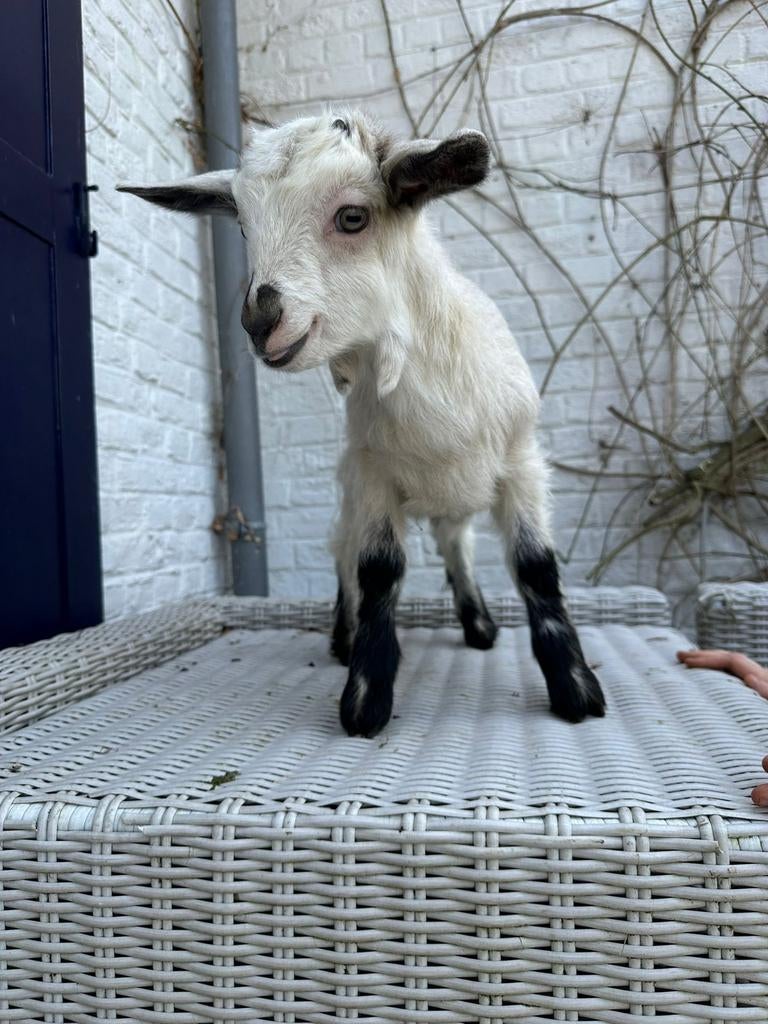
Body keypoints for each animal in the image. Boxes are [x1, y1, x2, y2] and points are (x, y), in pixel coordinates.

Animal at [119, 111, 606, 736]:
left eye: (353, 217)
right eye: (245, 229)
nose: (260, 322)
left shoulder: (523, 462)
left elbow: (536, 567)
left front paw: (575, 688)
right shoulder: (371, 474)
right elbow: (378, 570)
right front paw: (367, 696)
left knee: (456, 545)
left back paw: (477, 625)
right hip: (350, 496)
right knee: (344, 556)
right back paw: (343, 637)